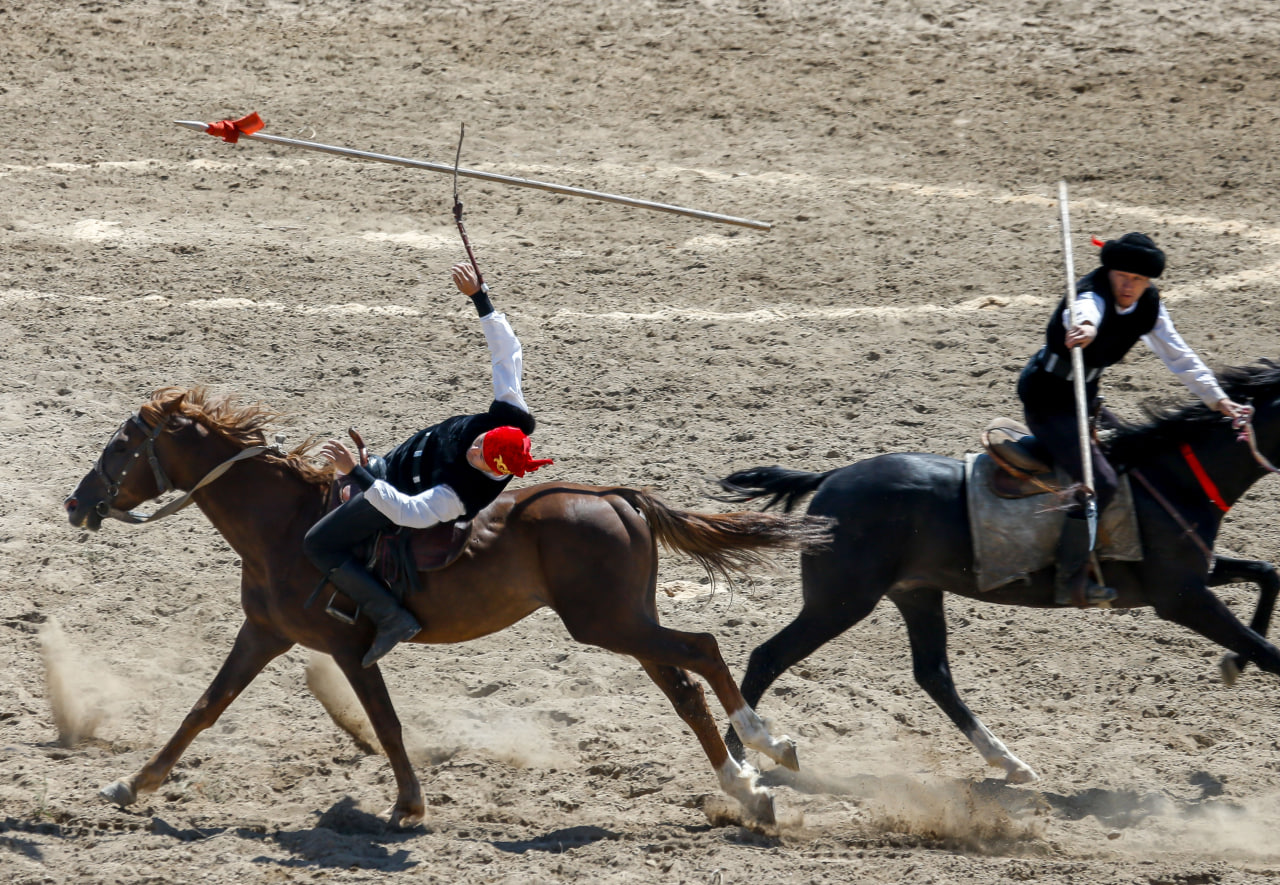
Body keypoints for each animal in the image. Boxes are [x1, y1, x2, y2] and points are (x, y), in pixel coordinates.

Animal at [64, 386, 829, 824]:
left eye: (123, 444)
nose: (76, 502)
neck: (284, 524)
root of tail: (614, 495)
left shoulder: (349, 647)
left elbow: (388, 724)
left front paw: (408, 805)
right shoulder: (263, 633)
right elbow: (204, 708)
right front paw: (132, 784)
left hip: (607, 623)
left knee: (703, 648)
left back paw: (766, 748)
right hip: (627, 623)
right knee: (685, 689)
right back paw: (747, 784)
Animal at [721, 361, 1280, 783]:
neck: (1170, 478)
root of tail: (832, 476)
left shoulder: (1194, 578)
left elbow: (1266, 573)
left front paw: (1235, 663)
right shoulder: (1180, 596)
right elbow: (1270, 651)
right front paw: (1242, 659)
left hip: (916, 592)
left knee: (934, 675)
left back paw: (1008, 761)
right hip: (841, 601)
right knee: (767, 657)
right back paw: (742, 757)